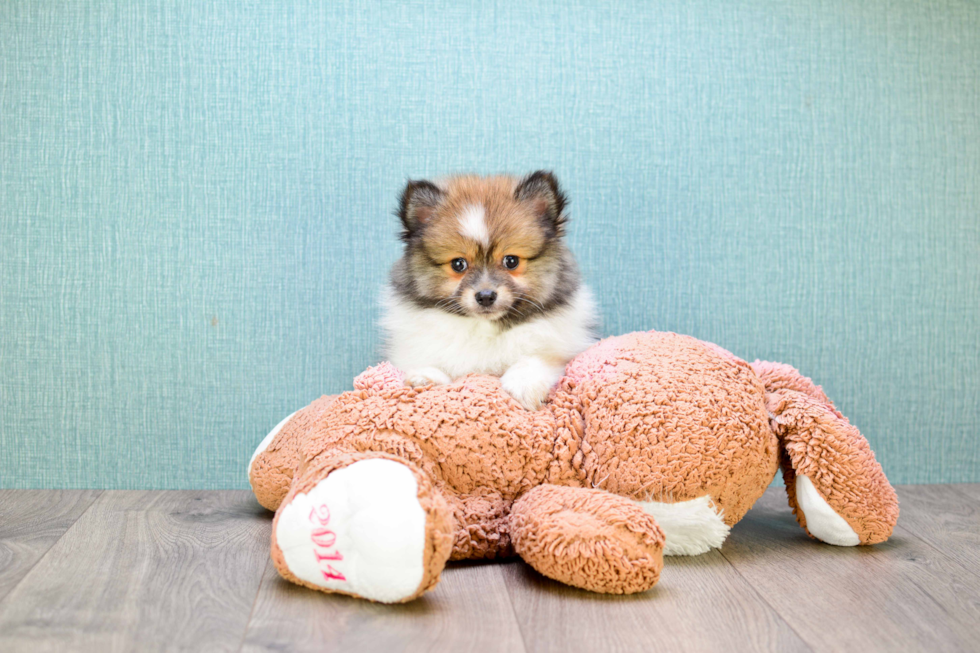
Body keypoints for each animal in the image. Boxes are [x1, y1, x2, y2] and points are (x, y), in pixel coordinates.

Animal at [380, 171, 596, 410]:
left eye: (511, 261)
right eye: (458, 264)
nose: (485, 296)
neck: (485, 327)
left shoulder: (561, 348)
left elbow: (537, 359)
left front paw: (524, 385)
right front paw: (424, 376)